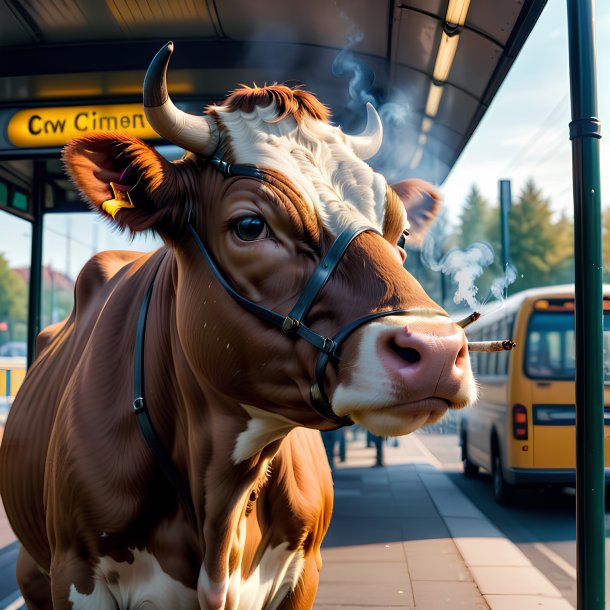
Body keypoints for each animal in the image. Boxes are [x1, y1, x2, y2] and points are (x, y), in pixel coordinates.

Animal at [0, 42, 476, 608]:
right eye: (250, 226)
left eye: (400, 234)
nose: (437, 349)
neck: (221, 499)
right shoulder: (76, 575)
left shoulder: (304, 571)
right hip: (32, 570)